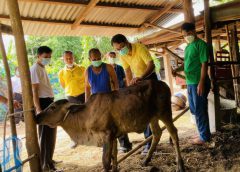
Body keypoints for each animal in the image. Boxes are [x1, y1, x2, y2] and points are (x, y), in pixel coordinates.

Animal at [36, 80, 186, 171]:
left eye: (53, 107)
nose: (37, 116)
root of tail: (163, 83)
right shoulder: (114, 134)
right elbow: (114, 157)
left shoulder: (107, 134)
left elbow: (106, 161)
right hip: (152, 117)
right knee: (157, 134)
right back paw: (145, 161)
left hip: (164, 113)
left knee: (174, 132)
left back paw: (180, 165)